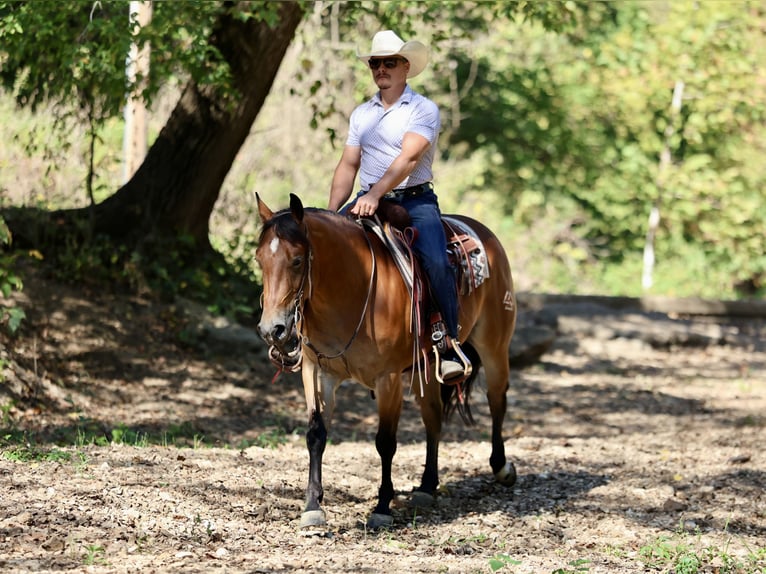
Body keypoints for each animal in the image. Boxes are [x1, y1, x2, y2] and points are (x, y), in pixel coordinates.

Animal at [255, 193, 517, 529]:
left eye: (297, 260)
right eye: (259, 260)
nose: (271, 330)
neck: (351, 291)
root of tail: (485, 233)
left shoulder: (388, 378)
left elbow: (385, 442)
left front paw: (382, 507)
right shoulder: (317, 372)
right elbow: (316, 435)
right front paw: (312, 507)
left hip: (494, 346)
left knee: (497, 400)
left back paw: (501, 467)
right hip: (426, 368)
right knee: (433, 416)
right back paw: (427, 486)